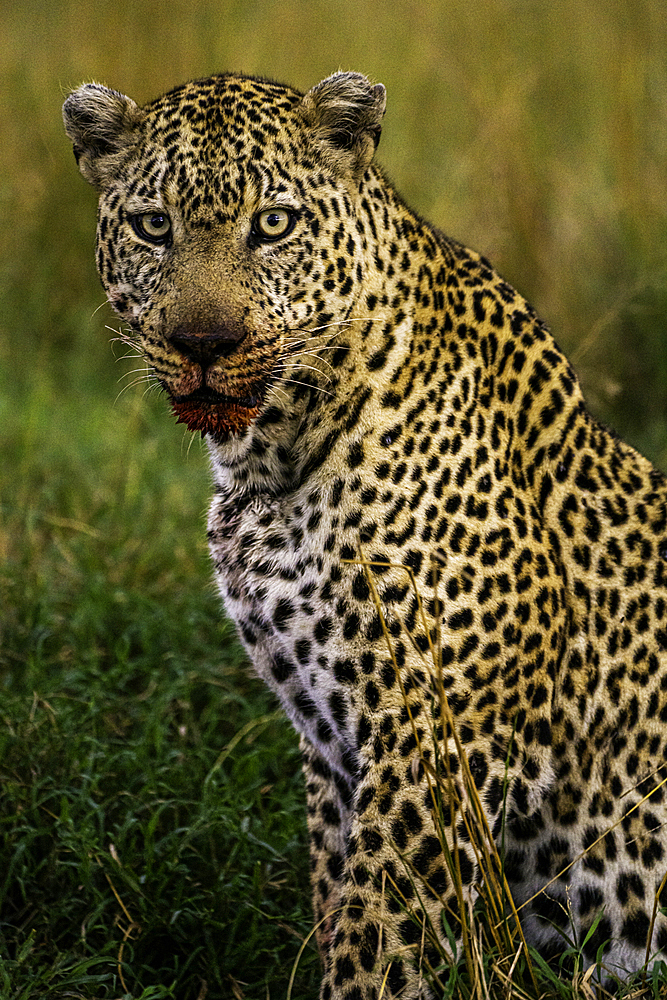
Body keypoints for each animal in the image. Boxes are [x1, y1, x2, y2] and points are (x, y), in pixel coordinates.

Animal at [64, 72, 667, 1000]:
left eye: (274, 224)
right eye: (153, 226)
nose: (204, 344)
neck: (271, 463)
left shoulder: (433, 736)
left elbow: (376, 932)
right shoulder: (331, 745)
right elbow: (338, 896)